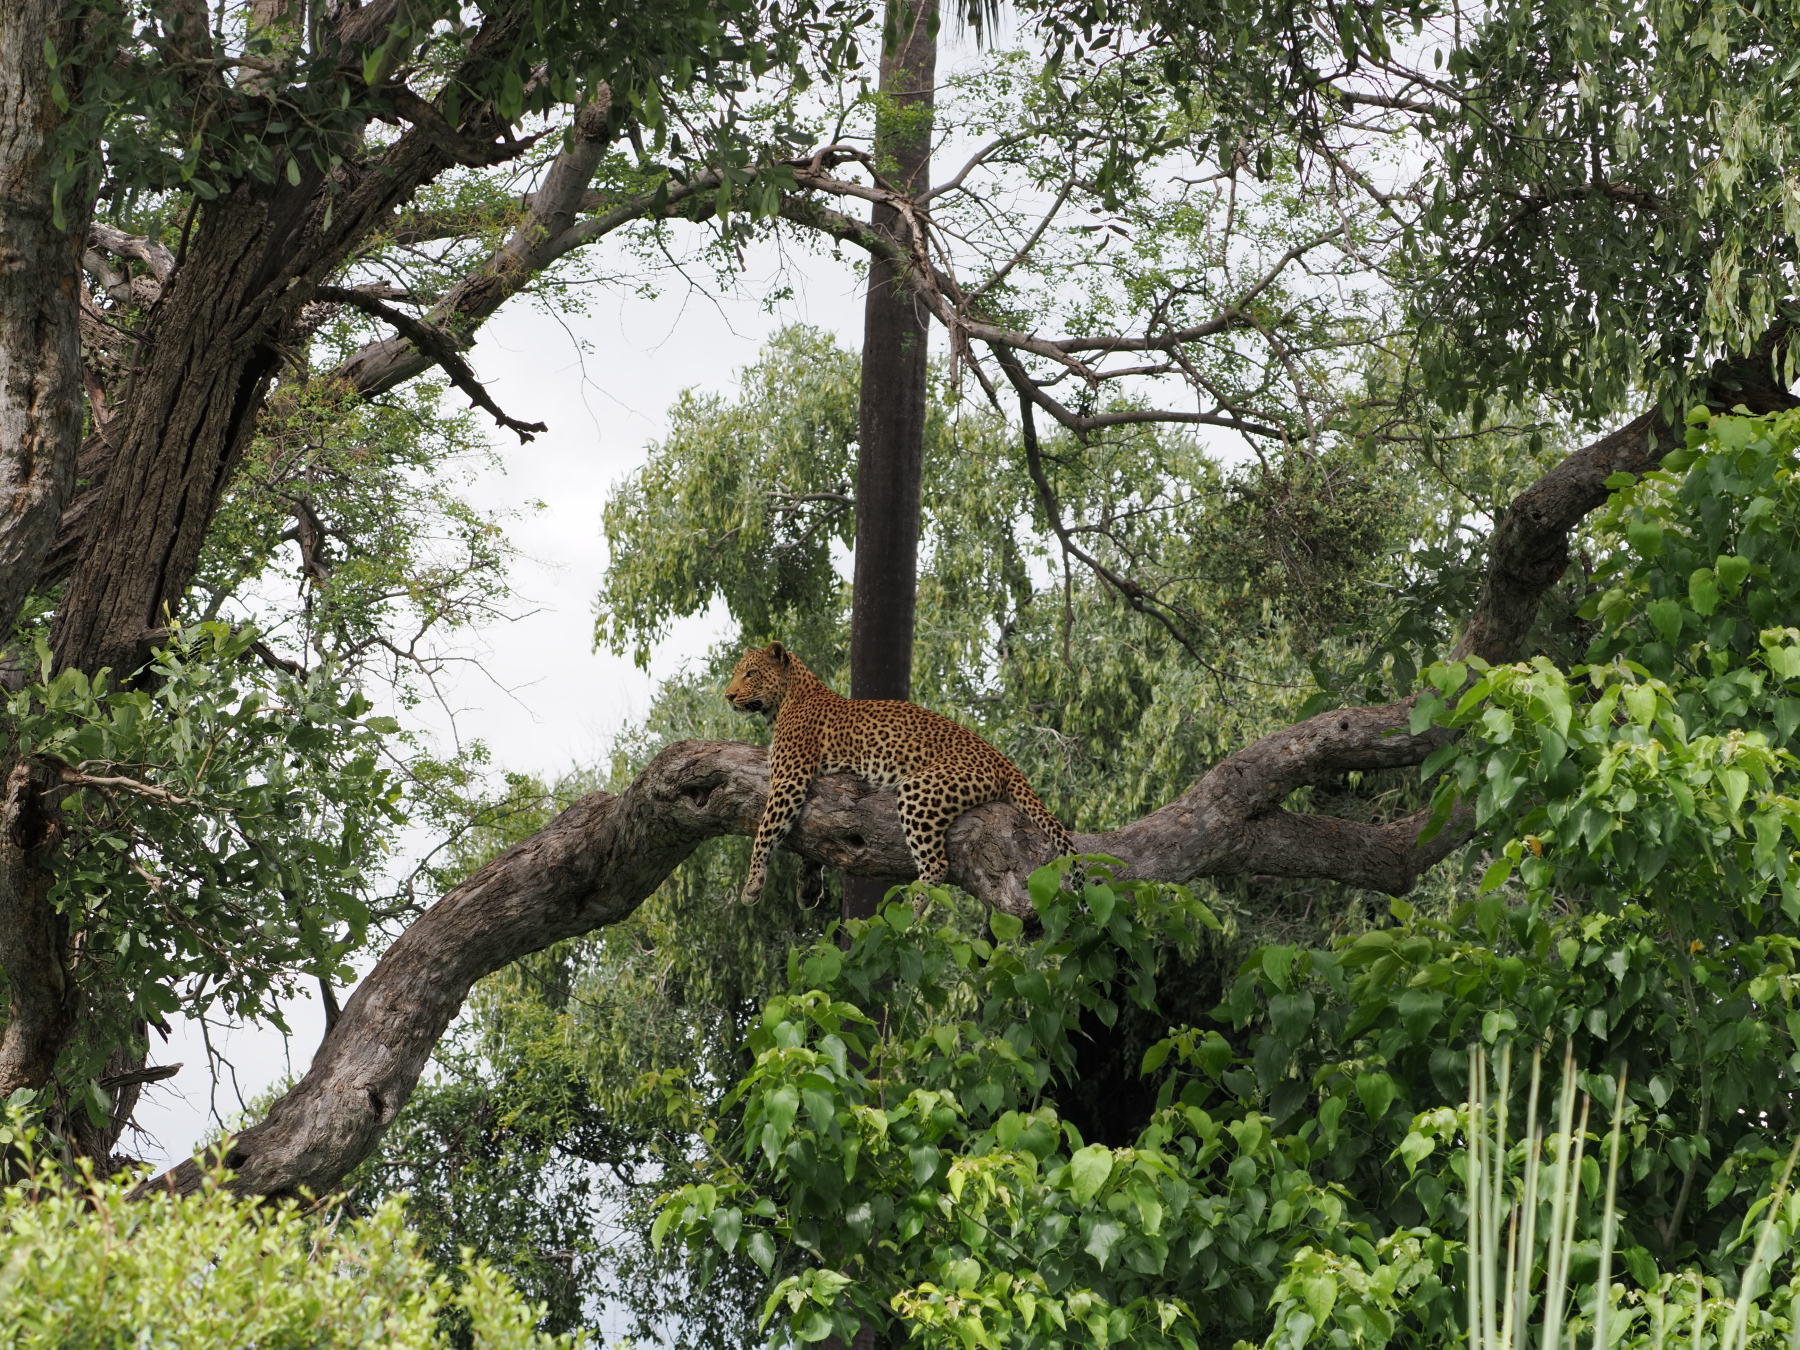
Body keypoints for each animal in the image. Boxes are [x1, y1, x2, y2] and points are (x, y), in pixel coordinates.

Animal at [724, 641, 1073, 905]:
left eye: (751, 673)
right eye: (736, 674)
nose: (728, 696)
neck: (785, 700)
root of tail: (1003, 760)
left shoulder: (789, 779)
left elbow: (765, 831)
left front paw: (752, 885)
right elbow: (816, 837)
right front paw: (808, 887)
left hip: (920, 790)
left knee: (937, 865)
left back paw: (911, 913)